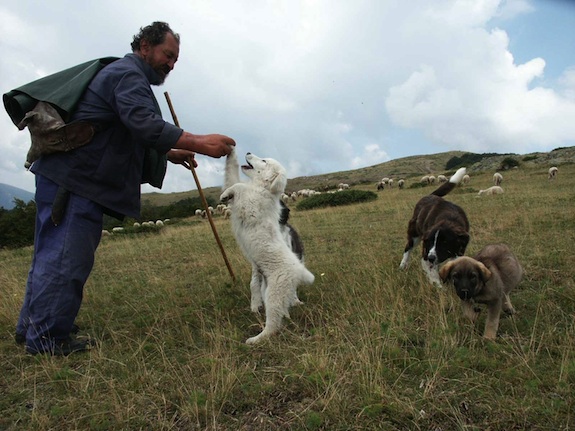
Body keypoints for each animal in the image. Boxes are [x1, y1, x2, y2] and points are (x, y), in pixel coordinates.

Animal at [219, 148, 316, 344]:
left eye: (263, 161)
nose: (248, 152)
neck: (262, 188)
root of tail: (299, 270)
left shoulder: (250, 204)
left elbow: (240, 186)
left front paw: (225, 195)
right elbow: (233, 178)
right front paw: (231, 151)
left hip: (274, 294)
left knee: (273, 323)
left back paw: (256, 339)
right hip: (268, 290)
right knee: (281, 313)